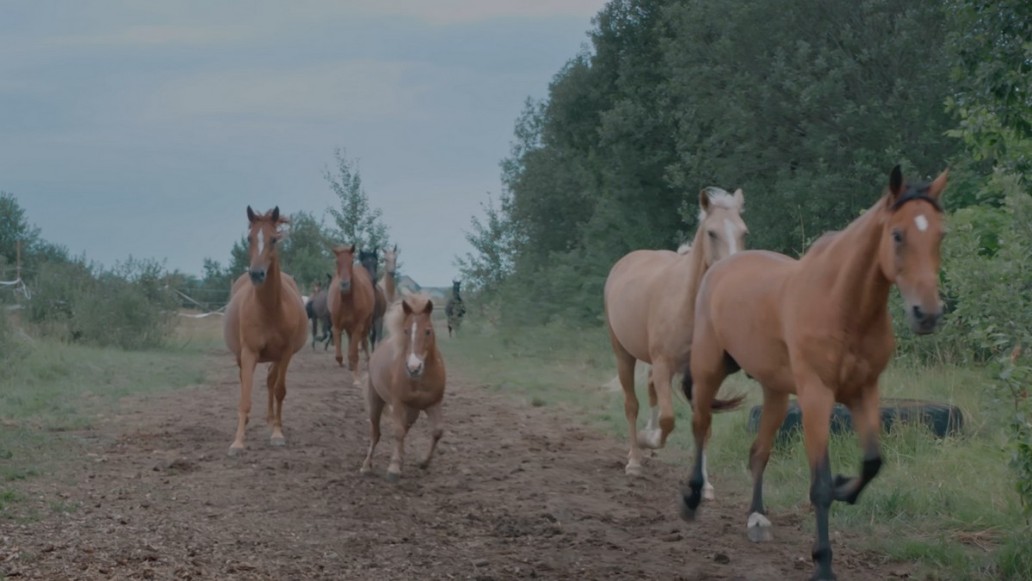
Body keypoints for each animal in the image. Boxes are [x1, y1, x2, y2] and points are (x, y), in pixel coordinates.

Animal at [220, 206, 305, 456]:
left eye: (274, 239)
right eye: (249, 238)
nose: (257, 274)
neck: (269, 309)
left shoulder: (285, 353)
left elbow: (279, 390)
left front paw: (277, 433)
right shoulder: (249, 353)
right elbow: (245, 395)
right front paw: (238, 442)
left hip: (277, 357)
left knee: (271, 381)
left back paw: (272, 421)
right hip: (241, 356)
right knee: (246, 381)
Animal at [361, 295, 445, 482]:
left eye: (428, 331)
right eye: (406, 331)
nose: (414, 367)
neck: (420, 379)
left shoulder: (434, 404)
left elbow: (437, 431)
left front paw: (423, 462)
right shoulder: (398, 404)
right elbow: (398, 432)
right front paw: (393, 469)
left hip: (413, 411)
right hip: (375, 400)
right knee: (375, 433)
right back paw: (366, 466)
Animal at [602, 187, 747, 482]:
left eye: (744, 232)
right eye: (711, 233)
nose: (731, 273)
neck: (688, 306)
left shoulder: (704, 374)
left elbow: (704, 423)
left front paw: (705, 484)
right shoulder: (663, 365)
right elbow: (668, 419)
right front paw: (648, 440)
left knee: (650, 395)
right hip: (623, 355)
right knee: (632, 405)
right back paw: (635, 459)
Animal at [681, 165, 945, 581]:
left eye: (940, 235)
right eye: (898, 234)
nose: (928, 314)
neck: (842, 303)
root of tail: (720, 267)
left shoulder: (864, 391)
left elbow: (872, 463)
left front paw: (843, 487)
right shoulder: (817, 395)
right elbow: (819, 483)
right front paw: (823, 564)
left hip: (774, 391)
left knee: (758, 452)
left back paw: (757, 518)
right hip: (709, 370)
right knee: (700, 427)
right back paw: (692, 498)